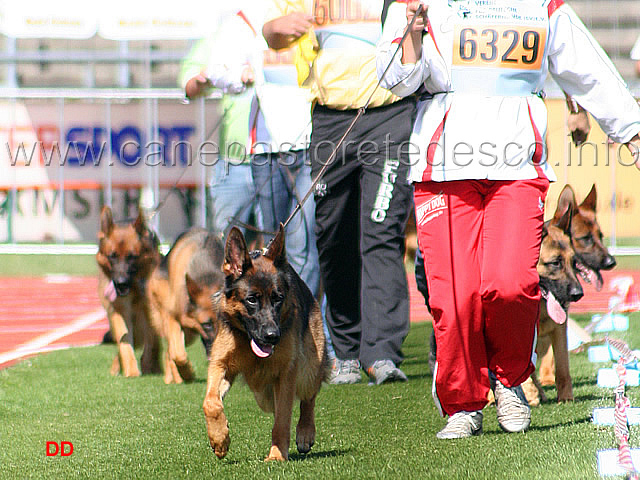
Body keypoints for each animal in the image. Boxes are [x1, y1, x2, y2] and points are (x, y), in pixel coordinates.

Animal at [97, 206, 164, 378]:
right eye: (112, 256)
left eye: (132, 257)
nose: (120, 284)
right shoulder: (119, 309)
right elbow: (124, 341)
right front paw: (131, 370)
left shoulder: (148, 310)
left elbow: (152, 343)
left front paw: (148, 366)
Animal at [148, 231, 225, 384]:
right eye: (207, 324)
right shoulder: (172, 317)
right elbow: (178, 354)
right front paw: (188, 373)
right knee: (171, 349)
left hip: (188, 334)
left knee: (169, 351)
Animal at [201, 225, 330, 462]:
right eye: (252, 299)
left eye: (278, 298)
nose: (272, 336)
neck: (246, 339)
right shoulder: (219, 365)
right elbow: (211, 403)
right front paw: (219, 439)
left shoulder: (286, 374)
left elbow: (282, 419)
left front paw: (277, 455)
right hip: (264, 394)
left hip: (308, 367)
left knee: (309, 397)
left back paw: (305, 433)